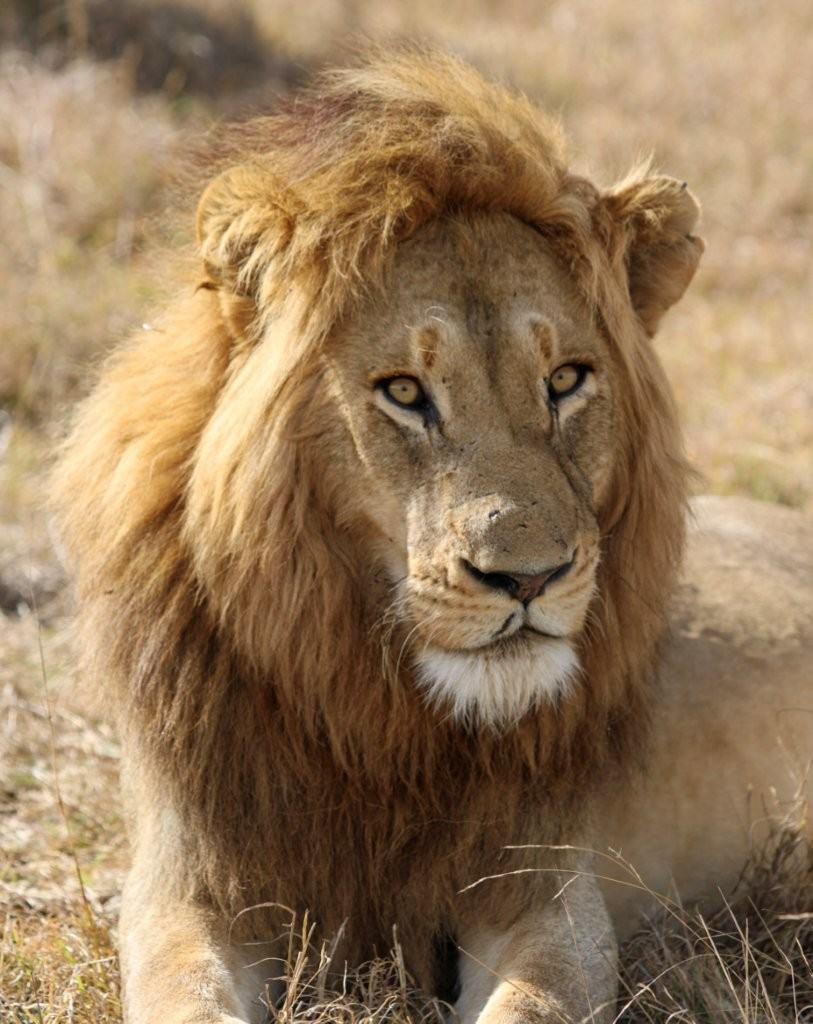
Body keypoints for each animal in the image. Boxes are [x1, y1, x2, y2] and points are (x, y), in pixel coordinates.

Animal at [52, 50, 812, 1024]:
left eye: (565, 379)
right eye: (405, 392)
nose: (528, 578)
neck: (382, 724)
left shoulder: (550, 895)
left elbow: (532, 1003)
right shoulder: (186, 888)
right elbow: (184, 997)